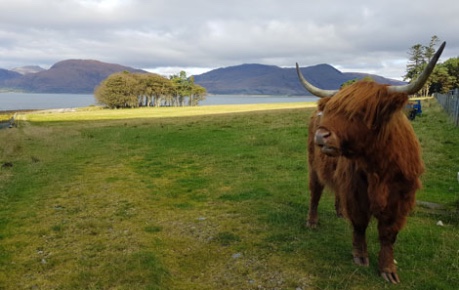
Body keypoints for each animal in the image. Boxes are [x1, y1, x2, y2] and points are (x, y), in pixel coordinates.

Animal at [298, 41, 446, 284]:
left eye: (361, 111)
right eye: (331, 109)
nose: (321, 135)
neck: (380, 166)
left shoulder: (402, 197)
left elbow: (389, 233)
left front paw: (388, 268)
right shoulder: (356, 191)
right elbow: (359, 224)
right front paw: (360, 256)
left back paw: (340, 212)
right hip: (314, 167)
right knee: (315, 193)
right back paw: (312, 221)